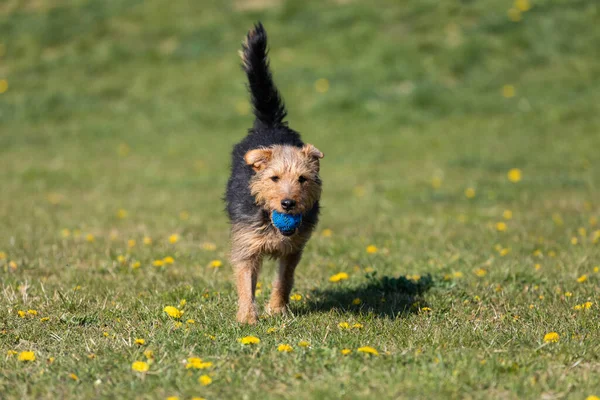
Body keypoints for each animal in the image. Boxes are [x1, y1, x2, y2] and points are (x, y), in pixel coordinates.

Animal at [225, 22, 326, 324]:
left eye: (302, 179)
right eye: (274, 178)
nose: (288, 203)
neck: (270, 218)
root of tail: (271, 123)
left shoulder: (293, 249)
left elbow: (284, 279)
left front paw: (278, 310)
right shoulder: (246, 244)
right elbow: (246, 281)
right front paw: (247, 318)